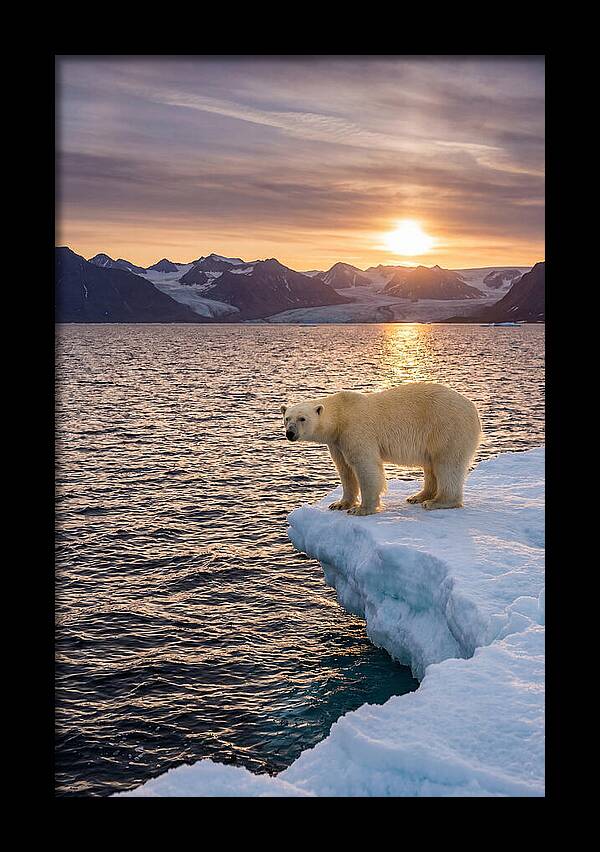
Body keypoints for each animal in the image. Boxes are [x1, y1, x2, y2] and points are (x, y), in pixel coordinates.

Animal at [281, 382, 482, 514]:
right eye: (287, 418)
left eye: (302, 418)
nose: (290, 433)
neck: (341, 415)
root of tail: (473, 408)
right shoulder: (337, 442)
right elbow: (344, 469)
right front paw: (339, 504)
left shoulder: (356, 430)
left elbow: (365, 467)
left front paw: (362, 509)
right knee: (431, 465)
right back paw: (418, 496)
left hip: (447, 427)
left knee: (447, 464)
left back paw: (437, 502)